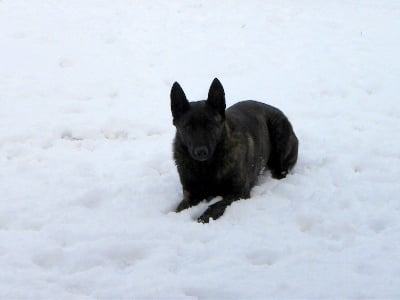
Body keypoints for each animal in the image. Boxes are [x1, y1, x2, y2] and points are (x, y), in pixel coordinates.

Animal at [170, 78, 298, 224]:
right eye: (188, 127)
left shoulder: (238, 192)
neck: (206, 168)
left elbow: (216, 206)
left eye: (210, 125)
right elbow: (179, 209)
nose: (201, 151)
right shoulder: (190, 195)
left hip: (279, 136)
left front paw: (202, 219)